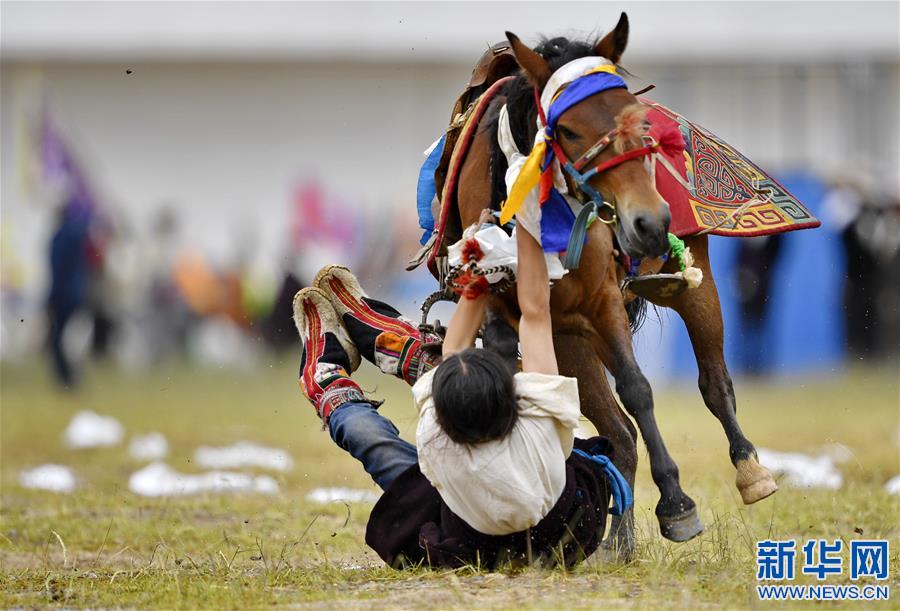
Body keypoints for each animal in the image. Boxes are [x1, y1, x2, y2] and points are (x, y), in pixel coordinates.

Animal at [428, 13, 772, 560]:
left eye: (638, 120)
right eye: (567, 129)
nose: (649, 222)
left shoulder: (602, 300)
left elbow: (637, 388)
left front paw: (677, 505)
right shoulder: (508, 310)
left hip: (693, 286)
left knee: (714, 384)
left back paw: (750, 471)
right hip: (569, 340)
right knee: (616, 429)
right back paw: (618, 539)